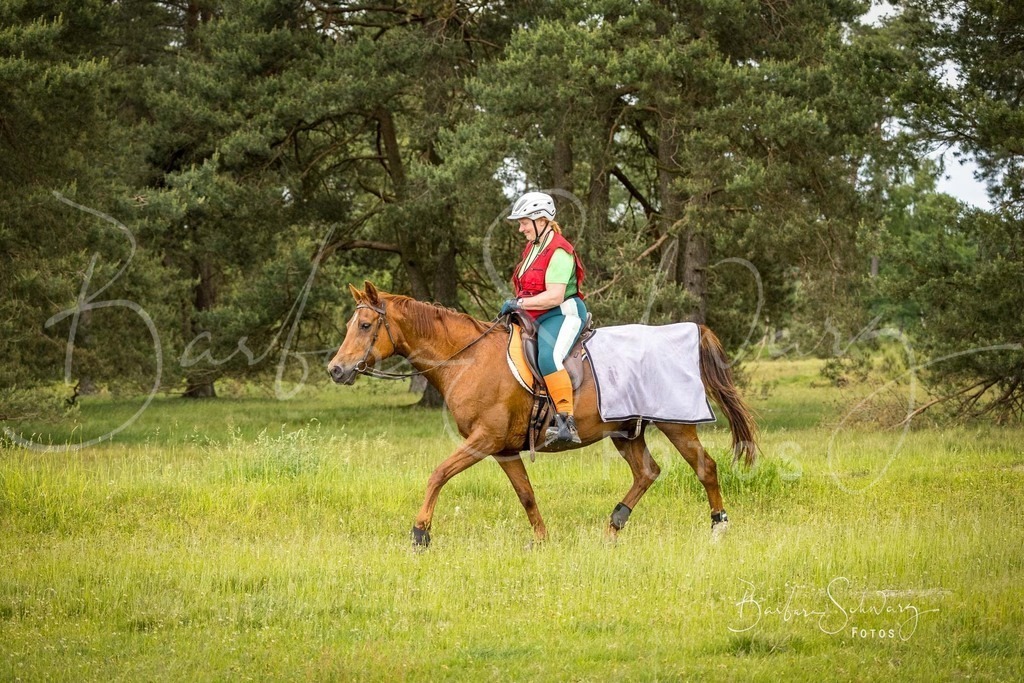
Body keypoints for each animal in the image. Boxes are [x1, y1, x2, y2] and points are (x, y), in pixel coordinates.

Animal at [327, 281, 757, 547]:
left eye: (364, 325)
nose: (336, 370)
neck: (469, 359)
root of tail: (689, 331)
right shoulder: (503, 450)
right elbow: (527, 495)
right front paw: (541, 539)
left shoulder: (483, 440)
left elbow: (438, 474)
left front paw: (420, 534)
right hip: (625, 431)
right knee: (647, 472)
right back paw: (613, 527)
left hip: (675, 424)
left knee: (705, 468)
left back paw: (718, 528)